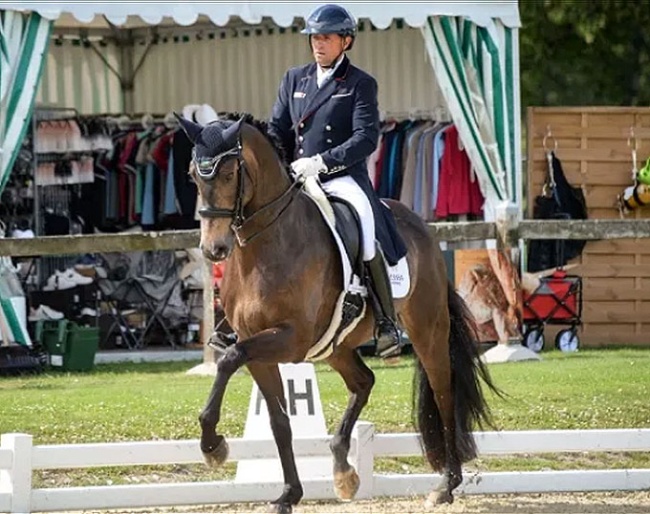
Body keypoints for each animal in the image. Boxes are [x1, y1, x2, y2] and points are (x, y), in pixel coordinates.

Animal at [180, 113, 498, 512]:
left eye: (226, 174)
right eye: (193, 175)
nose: (214, 249)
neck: (265, 246)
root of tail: (420, 225)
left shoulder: (291, 339)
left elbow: (228, 360)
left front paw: (212, 446)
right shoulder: (259, 348)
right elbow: (279, 422)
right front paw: (288, 494)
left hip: (427, 329)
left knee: (443, 392)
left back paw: (446, 484)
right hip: (336, 346)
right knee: (364, 382)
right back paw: (343, 468)